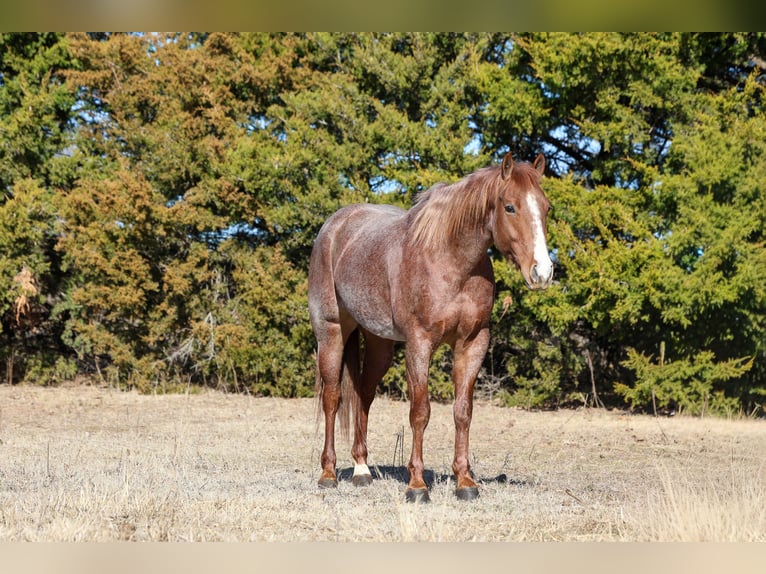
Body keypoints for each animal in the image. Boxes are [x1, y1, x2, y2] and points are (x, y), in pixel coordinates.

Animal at [308, 152, 553, 502]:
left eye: (546, 207)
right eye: (510, 207)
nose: (542, 272)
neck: (451, 261)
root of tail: (334, 226)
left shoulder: (473, 342)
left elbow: (463, 411)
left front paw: (465, 481)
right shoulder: (419, 343)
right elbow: (420, 412)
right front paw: (417, 485)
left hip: (379, 344)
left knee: (364, 394)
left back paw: (361, 469)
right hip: (331, 331)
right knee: (332, 397)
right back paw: (328, 474)